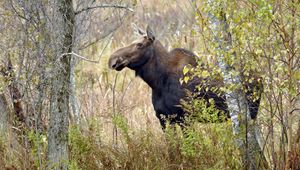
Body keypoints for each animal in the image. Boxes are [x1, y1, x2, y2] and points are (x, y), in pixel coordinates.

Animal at [109, 25, 262, 128]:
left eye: (139, 44)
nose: (112, 59)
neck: (156, 82)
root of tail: (259, 76)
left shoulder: (184, 118)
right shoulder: (163, 119)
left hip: (252, 111)